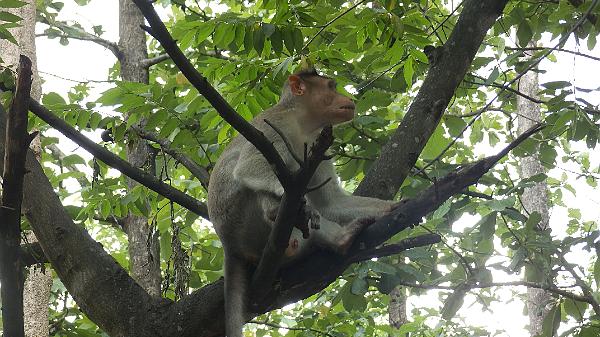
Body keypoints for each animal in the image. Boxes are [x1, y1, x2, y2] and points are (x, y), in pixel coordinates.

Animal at [206, 69, 398, 336]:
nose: (349, 98)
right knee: (259, 190)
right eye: (331, 86)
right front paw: (303, 203)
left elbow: (331, 203)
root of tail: (229, 246)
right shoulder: (275, 125)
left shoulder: (319, 143)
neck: (303, 123)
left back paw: (342, 239)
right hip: (241, 224)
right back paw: (280, 210)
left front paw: (392, 207)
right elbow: (248, 167)